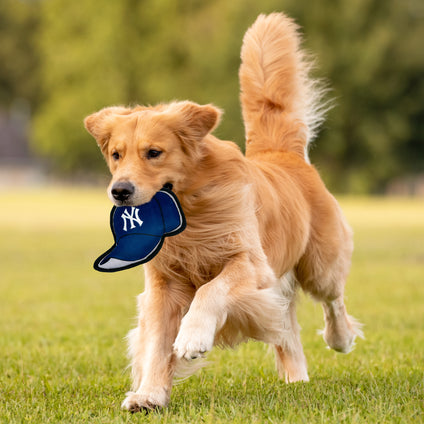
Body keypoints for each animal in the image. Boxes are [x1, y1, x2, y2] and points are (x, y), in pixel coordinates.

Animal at [85, 12, 362, 410]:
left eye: (154, 153)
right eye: (116, 155)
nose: (119, 191)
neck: (189, 214)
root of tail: (281, 153)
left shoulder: (251, 263)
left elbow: (210, 290)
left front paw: (193, 336)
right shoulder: (162, 284)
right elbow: (156, 343)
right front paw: (150, 393)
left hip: (319, 264)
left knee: (333, 299)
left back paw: (339, 338)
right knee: (288, 329)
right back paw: (296, 378)